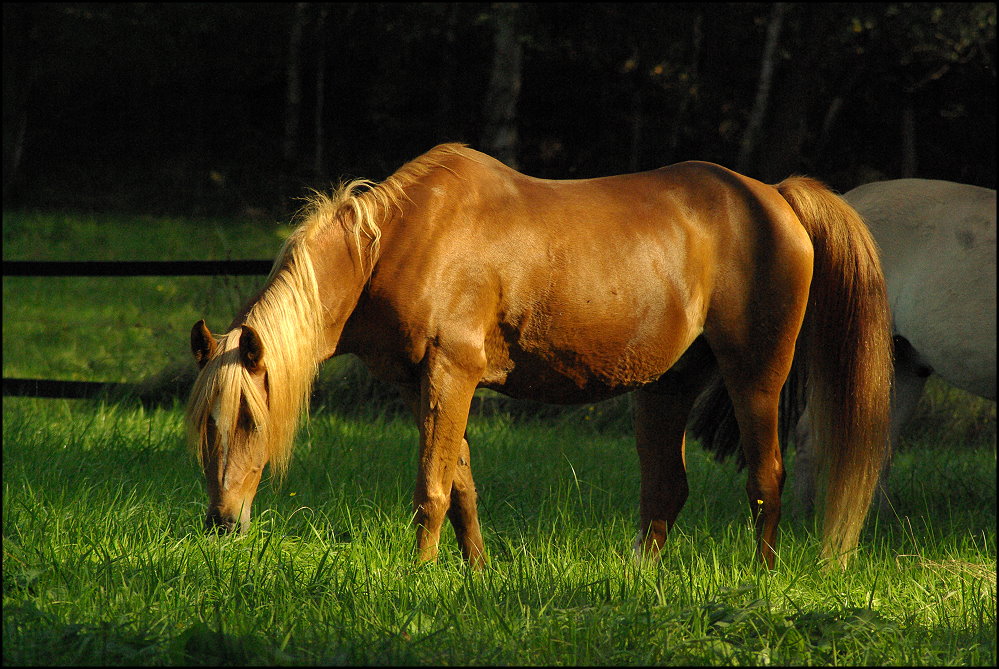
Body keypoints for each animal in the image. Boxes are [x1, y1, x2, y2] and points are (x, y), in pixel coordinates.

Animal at [186, 144, 892, 568]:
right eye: (204, 428)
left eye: (249, 419)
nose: (222, 521)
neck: (396, 242)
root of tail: (775, 194)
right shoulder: (424, 384)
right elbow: (462, 485)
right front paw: (472, 574)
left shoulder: (452, 373)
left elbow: (432, 487)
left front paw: (418, 575)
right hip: (665, 387)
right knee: (666, 488)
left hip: (756, 377)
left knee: (765, 479)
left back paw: (762, 578)